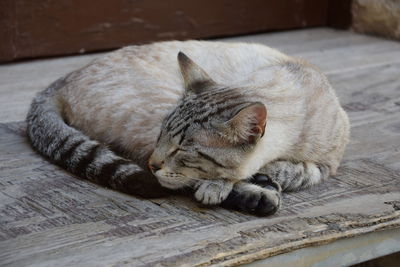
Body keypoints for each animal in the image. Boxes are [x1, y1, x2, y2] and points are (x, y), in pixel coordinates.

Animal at [25, 40, 350, 217]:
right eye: (162, 137)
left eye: (181, 149)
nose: (155, 161)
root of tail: (66, 77)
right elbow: (220, 176)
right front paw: (236, 183)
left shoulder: (328, 162)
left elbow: (302, 172)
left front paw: (270, 173)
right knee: (168, 181)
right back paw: (258, 197)